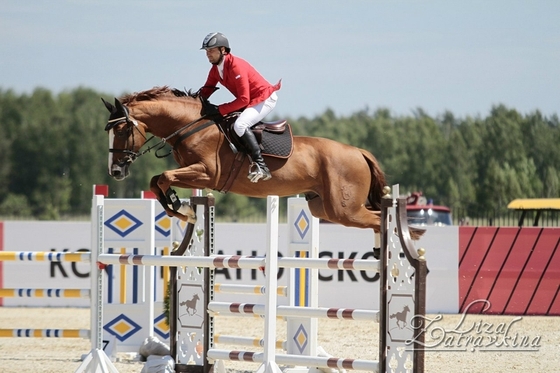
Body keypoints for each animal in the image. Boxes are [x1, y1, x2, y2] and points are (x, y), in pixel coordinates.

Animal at [103, 85, 422, 240]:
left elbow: (164, 177)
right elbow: (156, 181)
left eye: (122, 130)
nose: (116, 171)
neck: (191, 126)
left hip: (345, 210)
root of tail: (357, 151)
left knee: (380, 219)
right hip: (324, 208)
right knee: (375, 217)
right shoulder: (193, 173)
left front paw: (182, 209)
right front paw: (182, 210)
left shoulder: (206, 174)